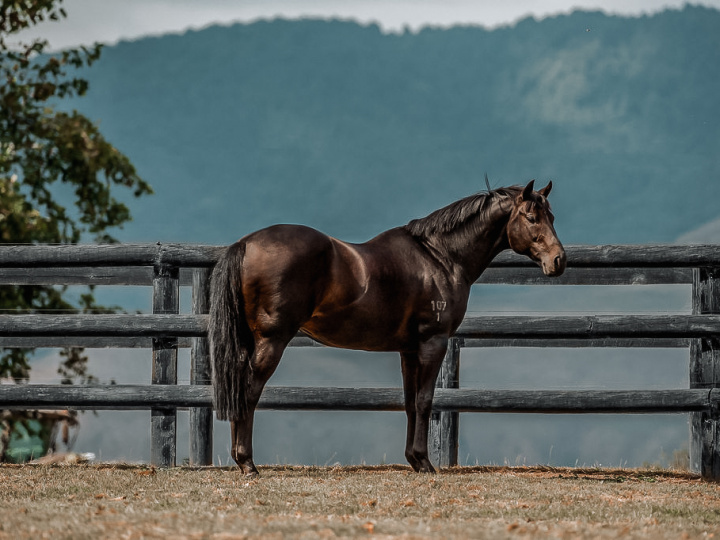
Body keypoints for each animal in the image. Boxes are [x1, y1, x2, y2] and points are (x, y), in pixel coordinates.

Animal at [210, 179, 568, 474]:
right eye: (532, 217)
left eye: (551, 216)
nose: (559, 260)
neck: (440, 257)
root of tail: (246, 244)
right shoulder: (433, 343)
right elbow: (424, 400)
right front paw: (425, 463)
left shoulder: (409, 350)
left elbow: (410, 402)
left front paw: (413, 459)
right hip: (272, 340)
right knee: (250, 391)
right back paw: (247, 463)